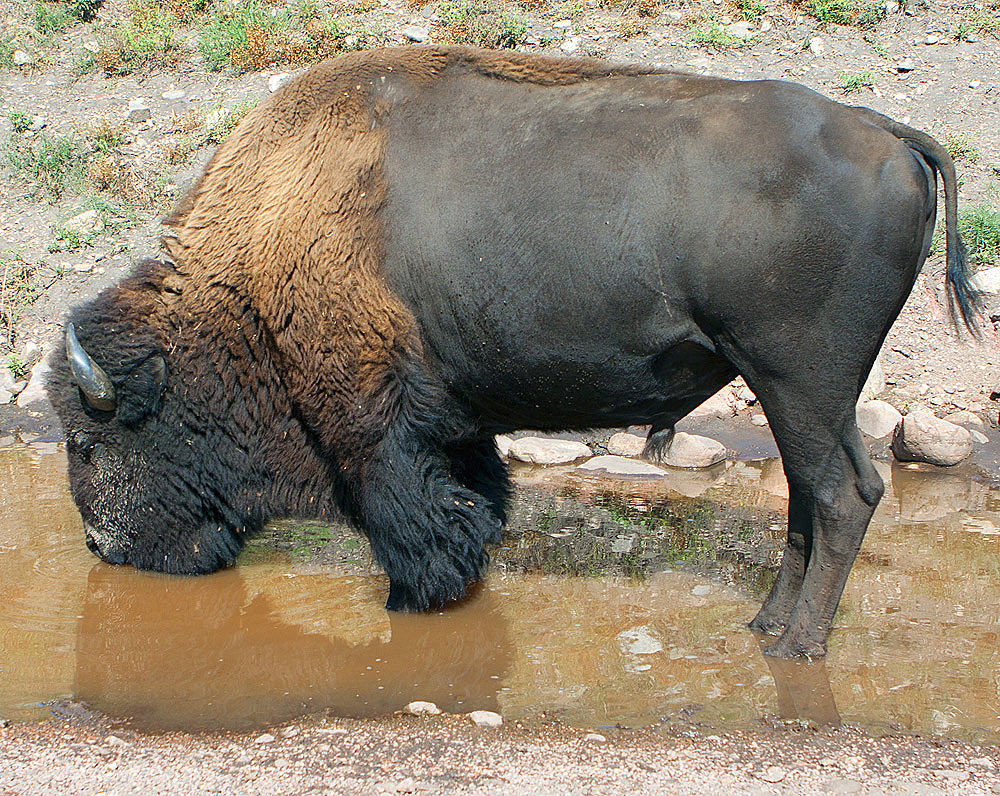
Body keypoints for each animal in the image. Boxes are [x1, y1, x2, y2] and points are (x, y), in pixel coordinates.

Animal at [47, 48, 976, 660]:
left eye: (90, 442)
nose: (99, 546)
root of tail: (889, 134)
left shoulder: (373, 425)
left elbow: (412, 519)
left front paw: (417, 600)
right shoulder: (453, 422)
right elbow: (474, 502)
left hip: (796, 380)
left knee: (840, 497)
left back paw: (796, 646)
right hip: (812, 395)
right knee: (821, 497)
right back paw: (767, 624)